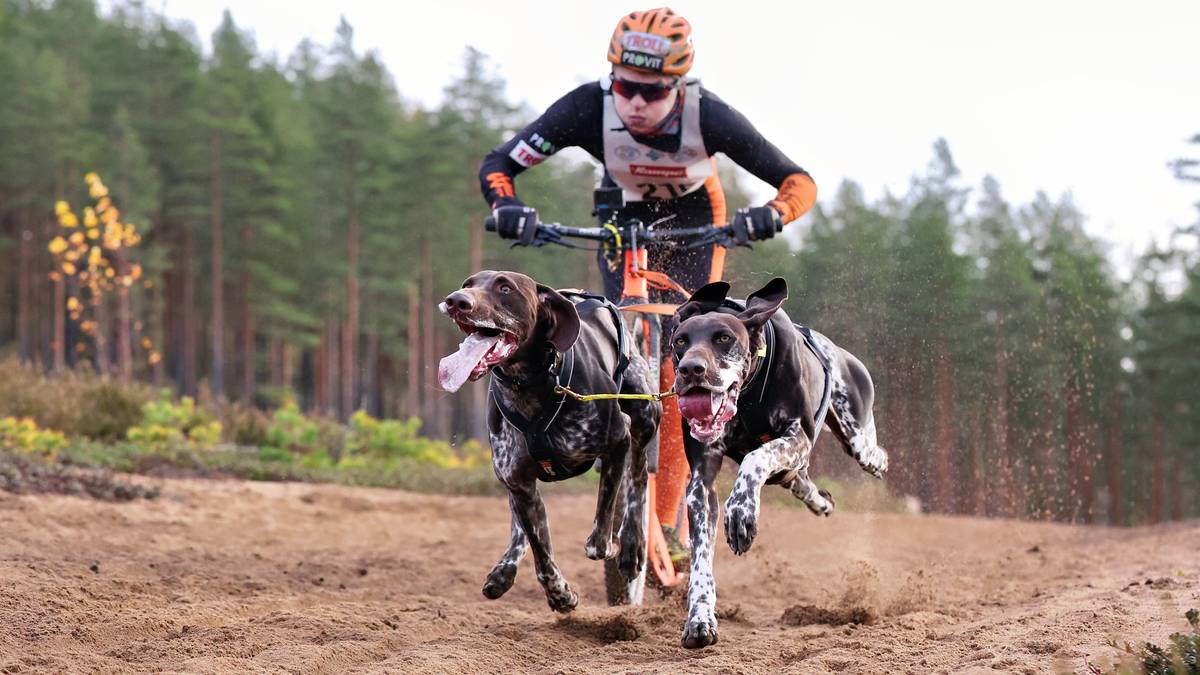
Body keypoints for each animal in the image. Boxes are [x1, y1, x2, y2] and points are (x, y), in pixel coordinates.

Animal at [672, 276, 888, 643]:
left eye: (724, 338)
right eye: (680, 342)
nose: (690, 369)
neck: (747, 395)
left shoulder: (797, 436)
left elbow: (755, 458)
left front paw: (741, 512)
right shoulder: (701, 483)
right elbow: (700, 558)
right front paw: (700, 618)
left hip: (856, 436)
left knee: (869, 454)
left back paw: (878, 462)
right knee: (798, 479)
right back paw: (820, 501)